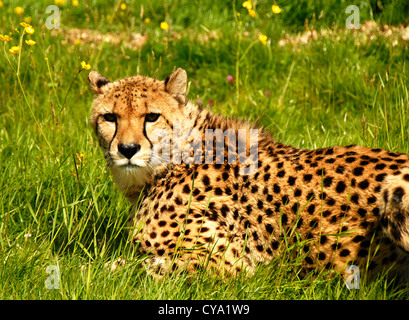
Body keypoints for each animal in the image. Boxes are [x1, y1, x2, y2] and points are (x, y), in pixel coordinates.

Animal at [91, 67, 408, 280]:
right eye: (110, 117)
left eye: (152, 116)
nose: (127, 149)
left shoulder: (229, 260)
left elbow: (134, 268)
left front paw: (93, 268)